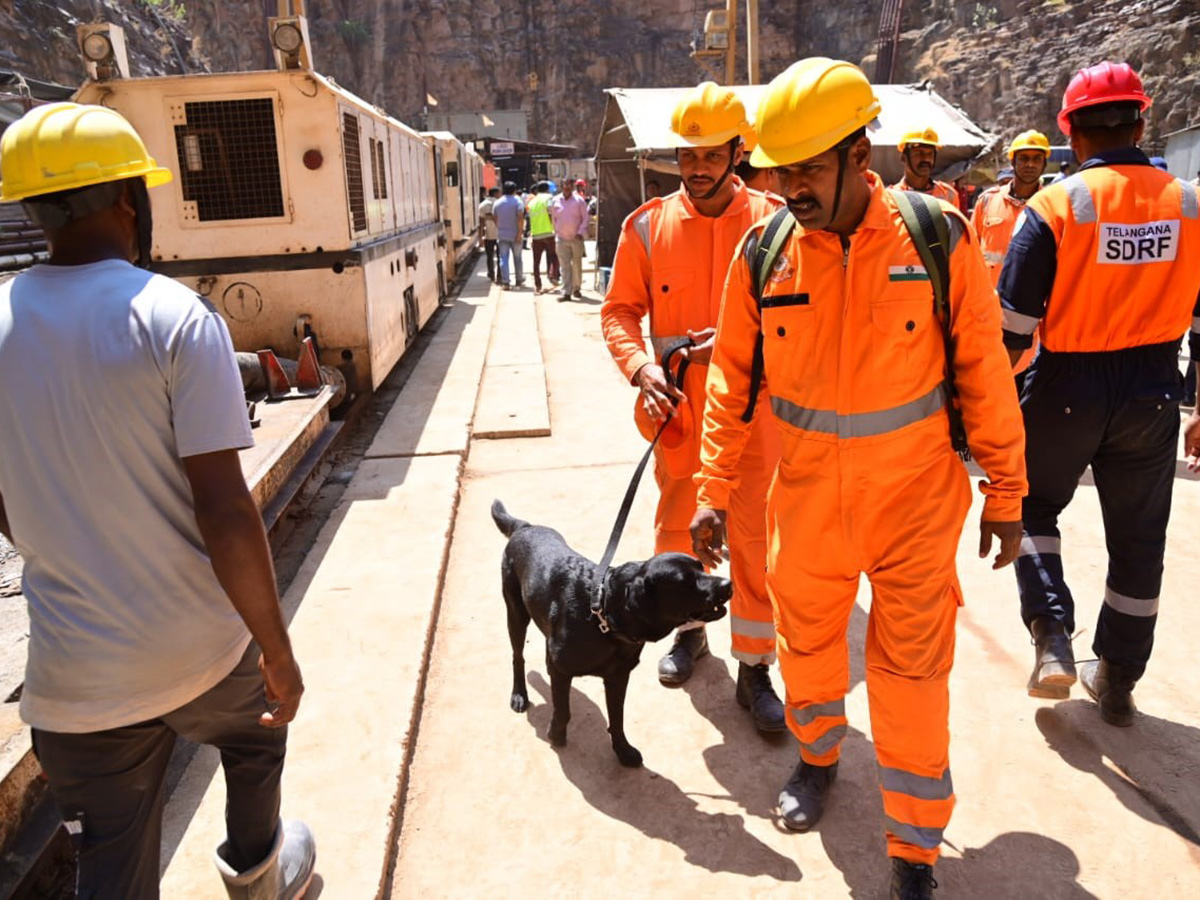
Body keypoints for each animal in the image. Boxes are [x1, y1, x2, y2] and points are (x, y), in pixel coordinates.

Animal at [489, 501, 729, 768]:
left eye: (701, 567)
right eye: (685, 582)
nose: (728, 584)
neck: (600, 616)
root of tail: (525, 527)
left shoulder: (618, 676)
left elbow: (617, 718)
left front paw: (622, 750)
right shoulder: (561, 669)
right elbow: (563, 710)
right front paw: (557, 734)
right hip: (516, 613)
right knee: (517, 656)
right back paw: (519, 694)